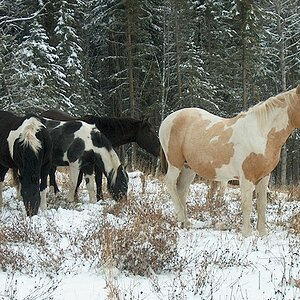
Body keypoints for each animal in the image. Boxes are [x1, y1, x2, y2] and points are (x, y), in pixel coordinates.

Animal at [161, 84, 300, 237]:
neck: (260, 134)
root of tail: (168, 119)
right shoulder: (246, 178)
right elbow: (247, 205)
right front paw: (247, 234)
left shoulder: (264, 177)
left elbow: (261, 205)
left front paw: (262, 233)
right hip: (175, 164)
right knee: (170, 183)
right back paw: (181, 218)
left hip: (188, 168)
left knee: (181, 189)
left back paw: (186, 223)